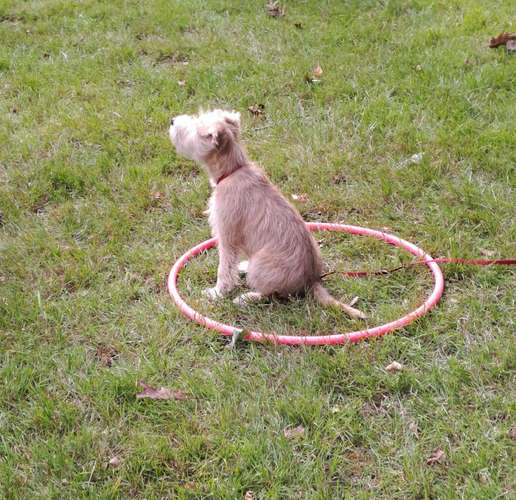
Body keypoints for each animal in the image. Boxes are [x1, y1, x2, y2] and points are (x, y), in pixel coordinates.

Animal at [167, 110, 364, 320]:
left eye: (196, 126)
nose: (172, 120)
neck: (233, 169)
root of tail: (312, 281)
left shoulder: (227, 238)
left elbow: (224, 270)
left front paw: (217, 293)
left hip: (262, 269)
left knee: (270, 294)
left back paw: (247, 298)